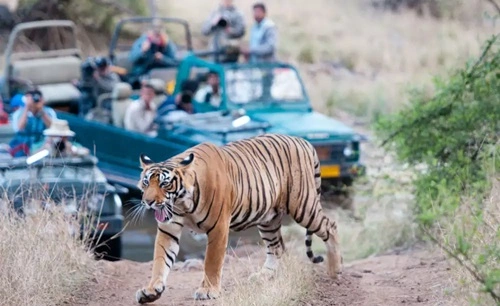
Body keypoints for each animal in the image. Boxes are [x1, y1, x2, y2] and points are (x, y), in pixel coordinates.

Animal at [135, 133, 342, 304]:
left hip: (303, 206)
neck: (182, 203)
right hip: (268, 219)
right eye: (146, 183)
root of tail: (303, 141)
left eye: (164, 184)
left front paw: (208, 290)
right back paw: (263, 276)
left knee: (330, 226)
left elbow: (212, 261)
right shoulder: (168, 228)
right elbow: (160, 259)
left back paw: (335, 270)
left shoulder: (218, 227)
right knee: (277, 247)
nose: (148, 202)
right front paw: (151, 291)